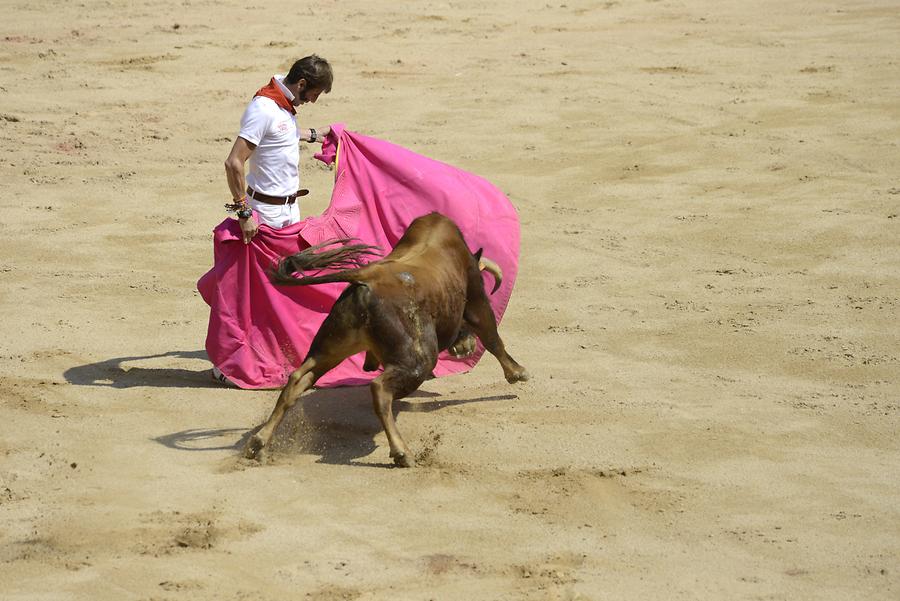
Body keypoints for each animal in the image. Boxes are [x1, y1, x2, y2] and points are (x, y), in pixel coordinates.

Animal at [243, 211, 532, 464]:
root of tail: (366, 277)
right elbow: (493, 338)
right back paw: (402, 452)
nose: (464, 348)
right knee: (379, 388)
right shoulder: (476, 299)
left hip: (330, 347)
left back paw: (258, 443)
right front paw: (517, 372)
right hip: (417, 360)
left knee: (297, 380)